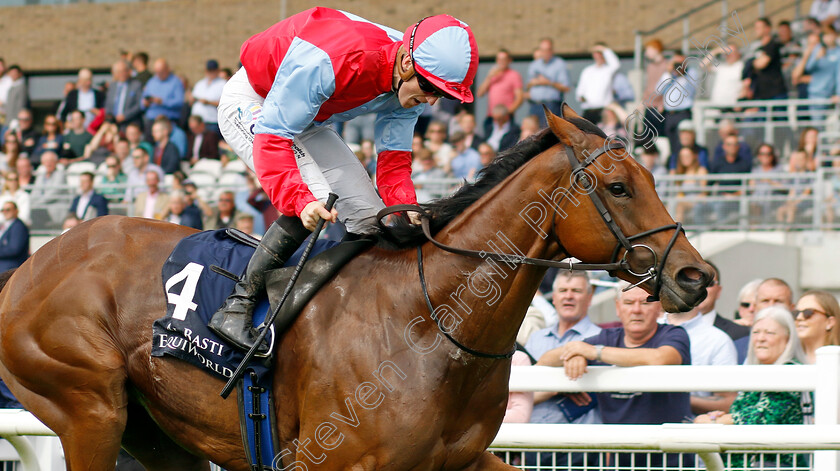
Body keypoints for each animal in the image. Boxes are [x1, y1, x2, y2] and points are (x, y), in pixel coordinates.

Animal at [0, 105, 712, 470]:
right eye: (619, 186)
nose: (696, 275)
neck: (431, 325)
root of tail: (30, 266)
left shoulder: (461, 461)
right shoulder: (326, 461)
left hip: (158, 433)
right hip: (89, 408)